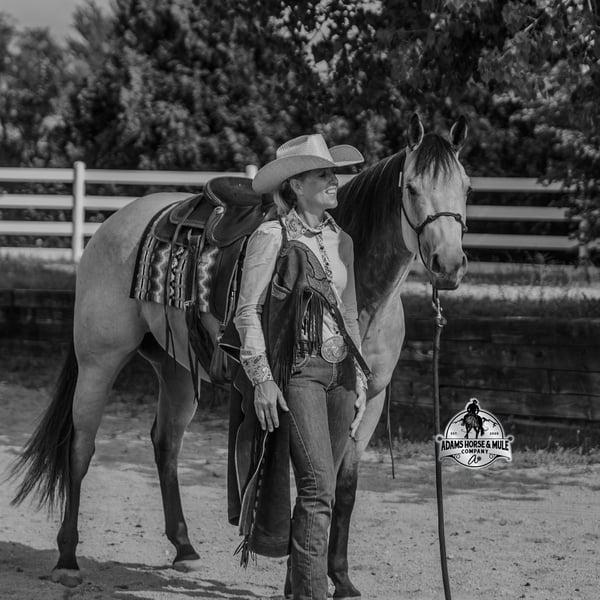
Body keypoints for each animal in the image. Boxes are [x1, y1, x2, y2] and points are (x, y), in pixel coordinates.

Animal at [10, 113, 470, 596]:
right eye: (412, 188)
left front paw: (340, 578)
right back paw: (66, 558)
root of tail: (113, 224)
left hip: (176, 370)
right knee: (80, 447)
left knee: (165, 444)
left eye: (467, 187)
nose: (449, 264)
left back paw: (184, 548)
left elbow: (343, 485)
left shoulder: (372, 398)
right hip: (99, 361)